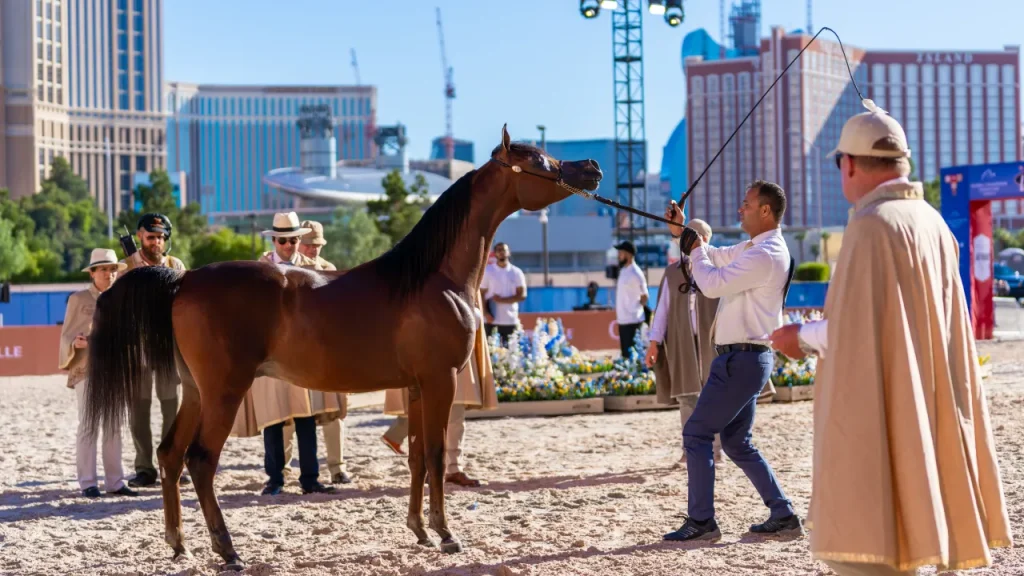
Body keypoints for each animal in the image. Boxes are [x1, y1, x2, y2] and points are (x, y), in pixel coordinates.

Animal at [84, 124, 602, 570]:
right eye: (539, 159)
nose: (593, 167)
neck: (432, 277)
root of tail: (185, 279)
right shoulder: (441, 382)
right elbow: (436, 454)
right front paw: (446, 534)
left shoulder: (416, 387)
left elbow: (416, 456)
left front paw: (419, 530)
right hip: (223, 392)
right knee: (200, 460)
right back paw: (228, 552)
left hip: (195, 391)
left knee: (170, 455)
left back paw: (180, 545)